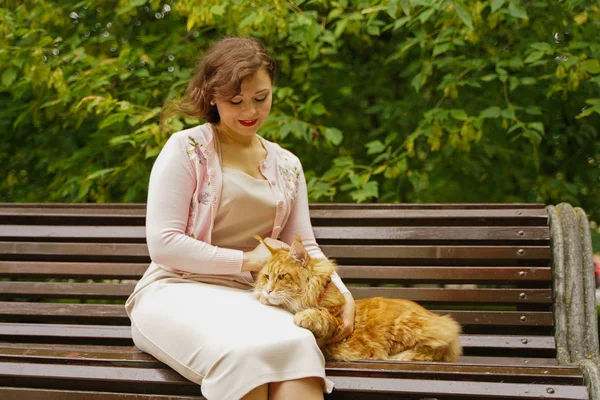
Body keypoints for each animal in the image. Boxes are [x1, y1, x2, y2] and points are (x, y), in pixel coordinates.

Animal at [251, 236, 462, 360]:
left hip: (416, 327)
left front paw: (305, 315)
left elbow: (322, 316)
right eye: (267, 277)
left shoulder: (336, 323)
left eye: (282, 276)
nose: (268, 290)